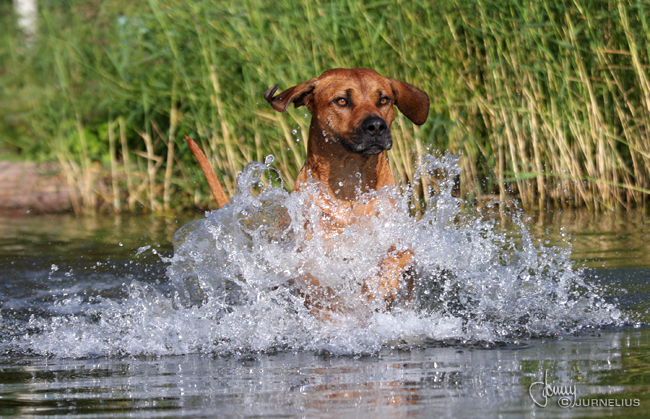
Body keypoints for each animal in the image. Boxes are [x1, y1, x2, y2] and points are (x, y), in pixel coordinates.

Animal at [264, 68, 430, 318]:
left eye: (384, 99)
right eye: (342, 100)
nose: (376, 126)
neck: (350, 183)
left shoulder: (399, 241)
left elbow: (398, 258)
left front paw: (379, 285)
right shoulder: (314, 255)